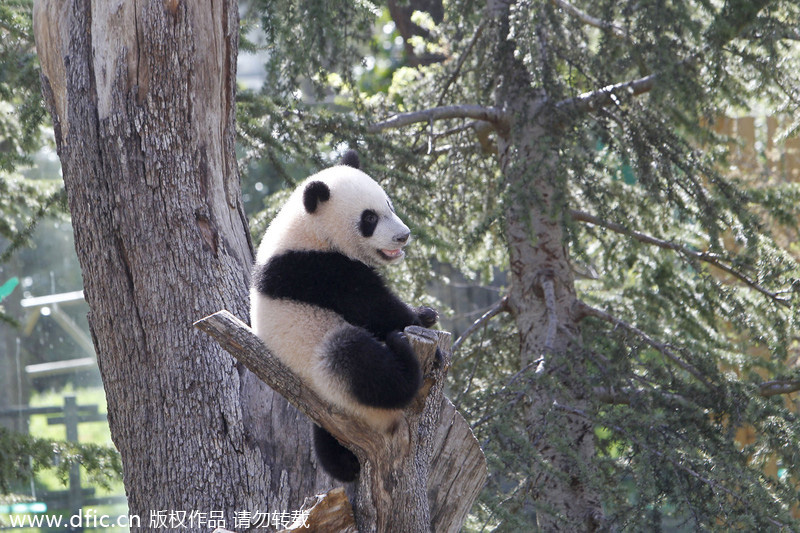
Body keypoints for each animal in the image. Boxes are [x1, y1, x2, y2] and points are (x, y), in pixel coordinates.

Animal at [250, 150, 438, 482]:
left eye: (389, 205)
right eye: (369, 218)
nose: (403, 236)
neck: (310, 229)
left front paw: (426, 314)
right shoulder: (316, 268)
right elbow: (373, 305)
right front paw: (420, 322)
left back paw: (345, 462)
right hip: (326, 366)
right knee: (358, 358)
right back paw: (402, 358)